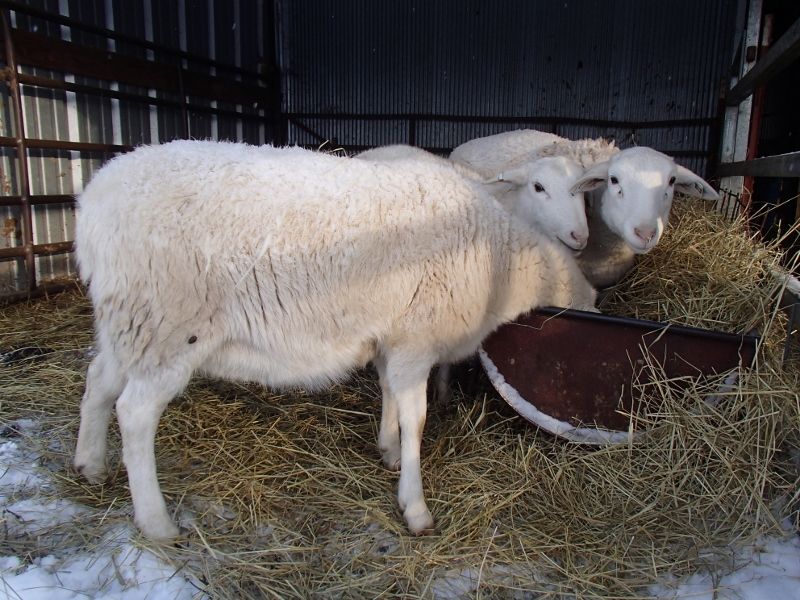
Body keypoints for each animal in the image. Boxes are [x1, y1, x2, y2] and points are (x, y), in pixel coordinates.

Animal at [73, 140, 597, 540]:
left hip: (127, 322)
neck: (500, 258)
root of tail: (94, 199)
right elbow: (416, 418)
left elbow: (389, 395)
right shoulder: (415, 339)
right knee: (135, 412)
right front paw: (415, 505)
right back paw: (157, 522)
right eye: (538, 187)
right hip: (168, 325)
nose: (579, 236)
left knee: (98, 379)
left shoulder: (390, 336)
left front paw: (387, 449)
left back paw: (90, 465)